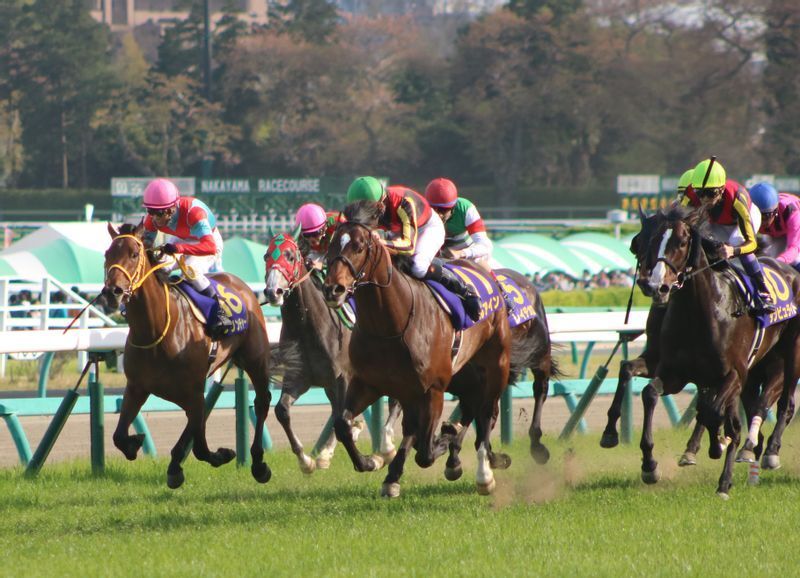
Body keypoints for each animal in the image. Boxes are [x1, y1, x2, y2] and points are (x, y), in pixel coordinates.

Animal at [101, 220, 276, 486]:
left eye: (133, 254)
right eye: (107, 254)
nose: (113, 292)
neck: (157, 331)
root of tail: (243, 286)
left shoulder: (193, 390)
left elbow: (201, 447)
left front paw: (222, 455)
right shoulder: (136, 387)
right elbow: (119, 436)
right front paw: (137, 443)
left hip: (255, 358)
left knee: (262, 401)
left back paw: (258, 464)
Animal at [320, 202, 512, 496]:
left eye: (359, 246)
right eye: (331, 246)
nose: (333, 289)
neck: (389, 325)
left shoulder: (433, 389)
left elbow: (426, 452)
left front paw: (446, 440)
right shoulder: (368, 383)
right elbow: (342, 424)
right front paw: (371, 461)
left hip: (495, 366)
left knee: (486, 415)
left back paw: (483, 474)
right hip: (457, 378)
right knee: (457, 413)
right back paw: (395, 475)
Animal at [632, 206, 800, 496]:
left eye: (681, 242)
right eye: (647, 241)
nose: (654, 285)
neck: (699, 312)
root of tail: (789, 270)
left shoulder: (733, 374)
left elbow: (712, 412)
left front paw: (718, 446)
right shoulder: (677, 374)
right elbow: (651, 393)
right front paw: (649, 466)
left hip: (791, 354)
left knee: (784, 404)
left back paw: (765, 454)